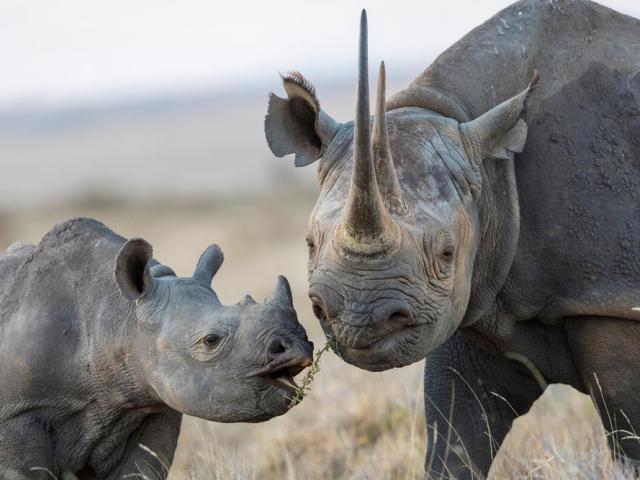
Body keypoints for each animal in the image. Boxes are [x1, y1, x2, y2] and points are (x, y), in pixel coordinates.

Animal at [0, 218, 313, 479]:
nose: (297, 346)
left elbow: (140, 469)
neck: (116, 316)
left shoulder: (154, 402)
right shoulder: (17, 412)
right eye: (211, 340)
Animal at [264, 1, 640, 477]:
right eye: (310, 244)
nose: (357, 319)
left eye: (446, 252)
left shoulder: (608, 296)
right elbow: (454, 436)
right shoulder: (472, 300)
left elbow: (629, 436)